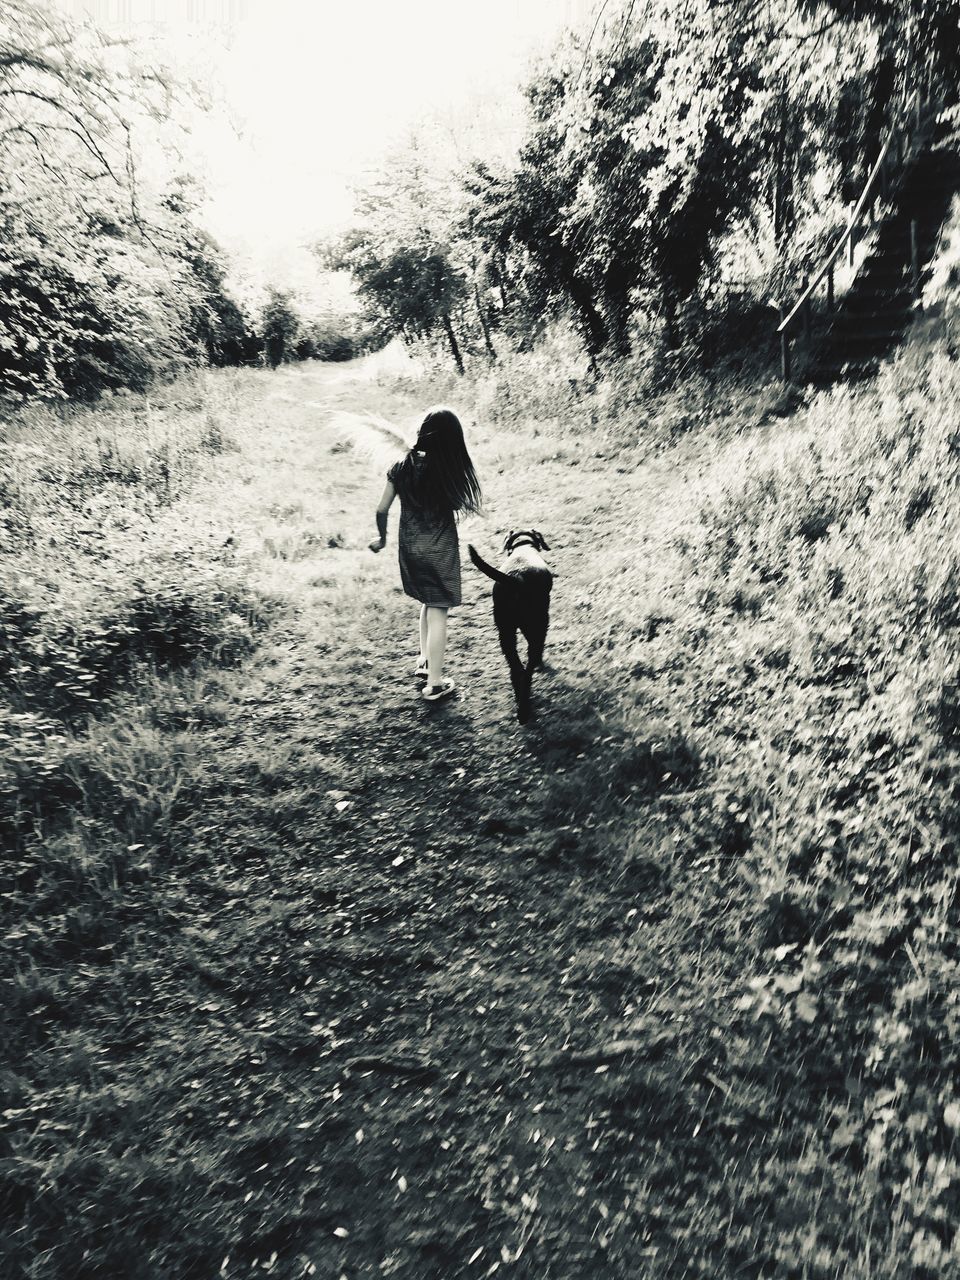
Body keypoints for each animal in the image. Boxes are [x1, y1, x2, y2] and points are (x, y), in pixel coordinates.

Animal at [468, 529, 552, 727]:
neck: (523, 546)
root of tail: (515, 578)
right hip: (535, 626)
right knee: (527, 670)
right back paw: (524, 710)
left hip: (505, 632)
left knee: (516, 669)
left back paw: (519, 701)